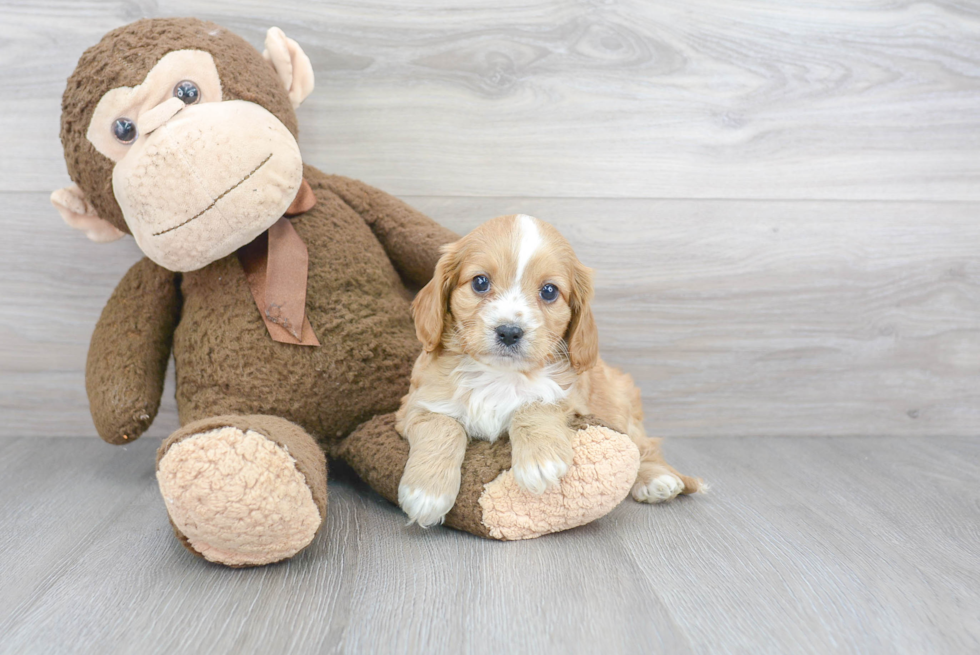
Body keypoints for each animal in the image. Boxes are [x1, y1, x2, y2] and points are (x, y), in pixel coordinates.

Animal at [394, 215, 700, 528]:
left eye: (549, 291)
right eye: (480, 282)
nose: (509, 332)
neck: (501, 375)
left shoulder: (569, 398)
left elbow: (535, 404)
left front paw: (540, 462)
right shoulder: (416, 405)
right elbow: (443, 427)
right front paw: (427, 492)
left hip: (620, 407)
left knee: (643, 446)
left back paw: (657, 479)